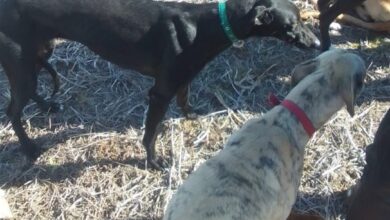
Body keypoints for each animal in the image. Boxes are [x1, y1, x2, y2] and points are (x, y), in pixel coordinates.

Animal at [0, 0, 320, 170]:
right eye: (292, 25)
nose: (317, 43)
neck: (206, 26)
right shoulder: (159, 92)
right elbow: (150, 134)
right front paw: (154, 162)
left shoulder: (183, 78)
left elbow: (185, 97)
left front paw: (191, 115)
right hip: (22, 63)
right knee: (12, 110)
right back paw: (29, 148)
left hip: (39, 53)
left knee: (27, 94)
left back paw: (47, 106)